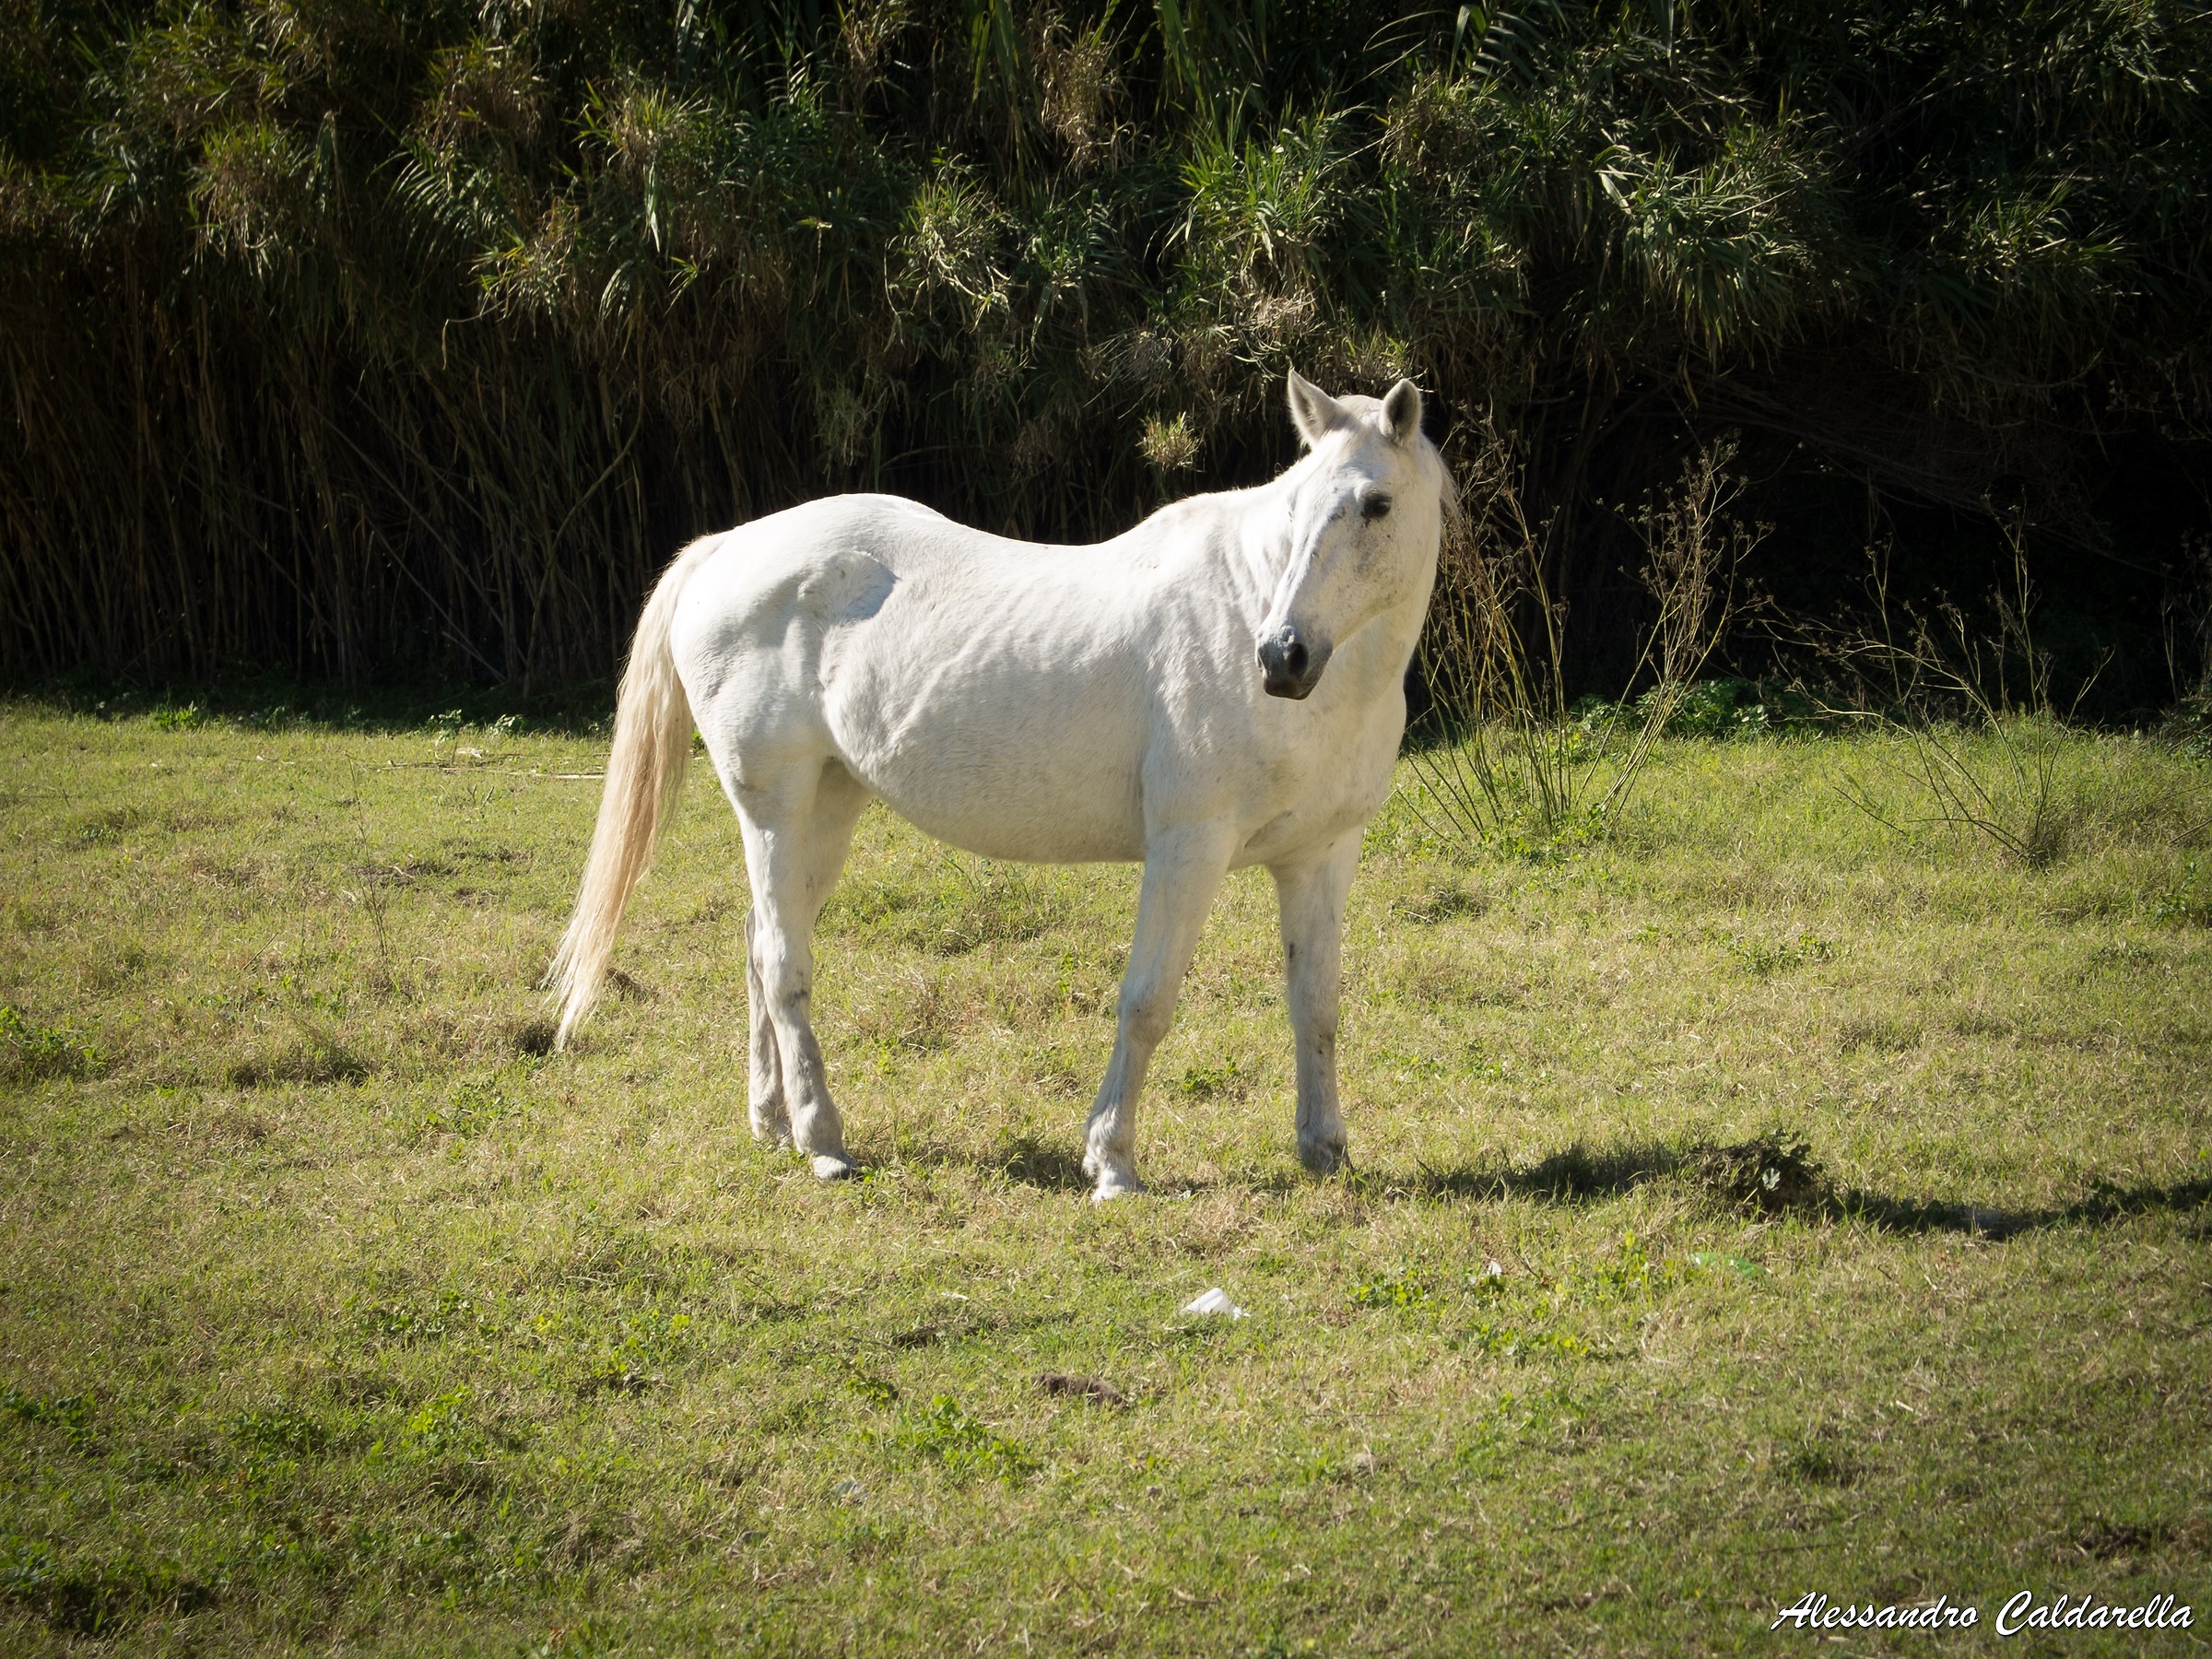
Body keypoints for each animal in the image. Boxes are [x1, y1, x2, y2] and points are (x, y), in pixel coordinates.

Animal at [547, 370, 1452, 1201]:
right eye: (1297, 510)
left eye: (1375, 504)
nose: (1281, 656)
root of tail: (726, 548)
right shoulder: (1188, 848)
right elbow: (1148, 1001)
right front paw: (1111, 1164)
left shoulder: (1320, 856)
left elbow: (1316, 1002)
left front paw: (1325, 1148)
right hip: (774, 807)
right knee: (780, 962)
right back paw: (824, 1142)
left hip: (827, 809)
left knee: (760, 946)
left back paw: (772, 1123)